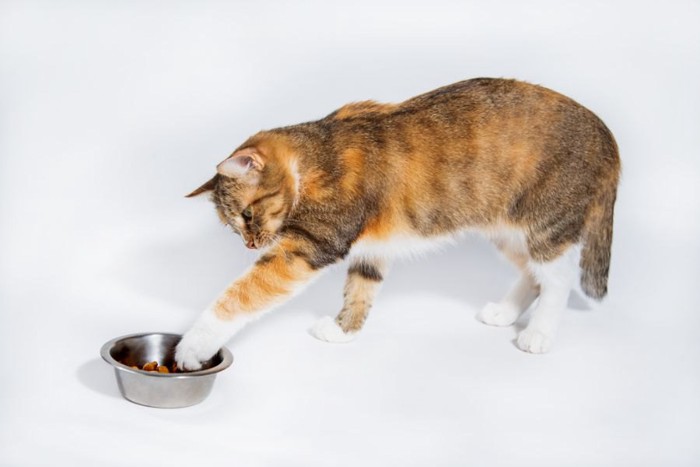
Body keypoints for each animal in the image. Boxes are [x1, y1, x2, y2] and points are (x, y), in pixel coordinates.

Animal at [174, 77, 616, 370]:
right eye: (234, 227)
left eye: (247, 215)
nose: (250, 245)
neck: (314, 158)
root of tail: (606, 137)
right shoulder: (372, 248)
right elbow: (361, 287)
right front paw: (344, 331)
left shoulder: (309, 246)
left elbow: (243, 294)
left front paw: (193, 345)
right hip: (506, 229)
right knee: (532, 273)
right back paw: (506, 312)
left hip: (546, 223)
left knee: (558, 278)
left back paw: (539, 333)